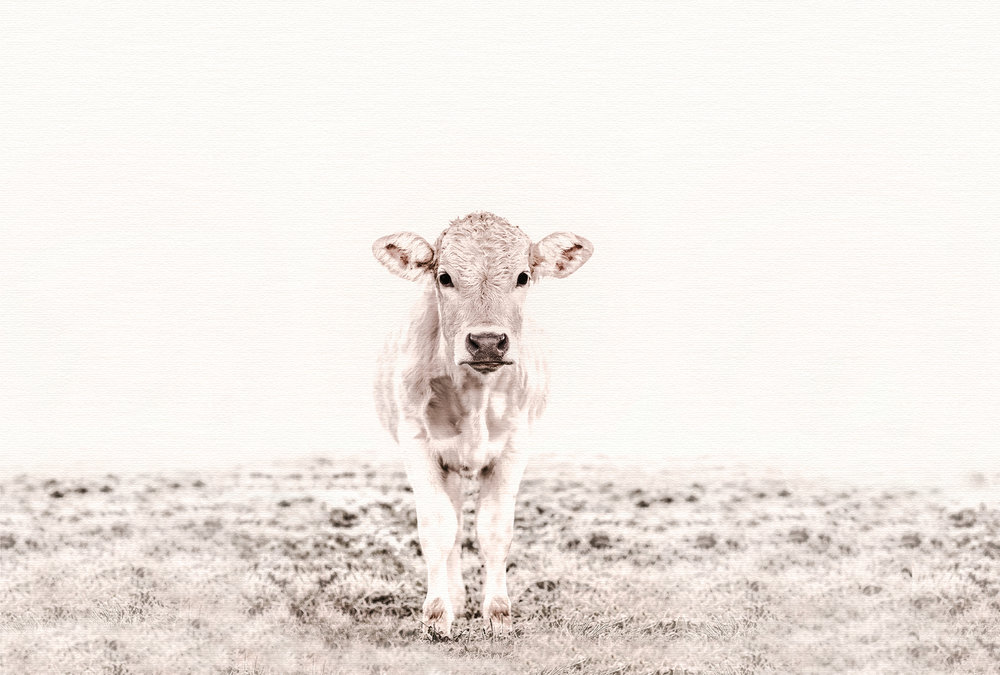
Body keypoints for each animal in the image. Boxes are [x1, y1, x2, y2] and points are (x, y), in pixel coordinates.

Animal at [372, 211, 593, 637]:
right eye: (444, 277)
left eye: (523, 276)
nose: (488, 341)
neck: (474, 395)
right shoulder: (417, 443)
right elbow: (438, 527)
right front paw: (438, 614)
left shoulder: (515, 446)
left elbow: (494, 529)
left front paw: (498, 614)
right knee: (454, 522)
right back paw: (455, 598)